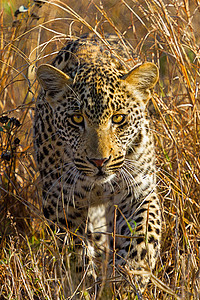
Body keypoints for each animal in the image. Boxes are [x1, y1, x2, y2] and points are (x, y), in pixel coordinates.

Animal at [34, 33, 161, 298]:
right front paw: (84, 286)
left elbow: (142, 237)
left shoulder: (140, 192)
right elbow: (75, 254)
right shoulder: (62, 203)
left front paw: (128, 280)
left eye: (119, 118)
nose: (99, 161)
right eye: (76, 119)